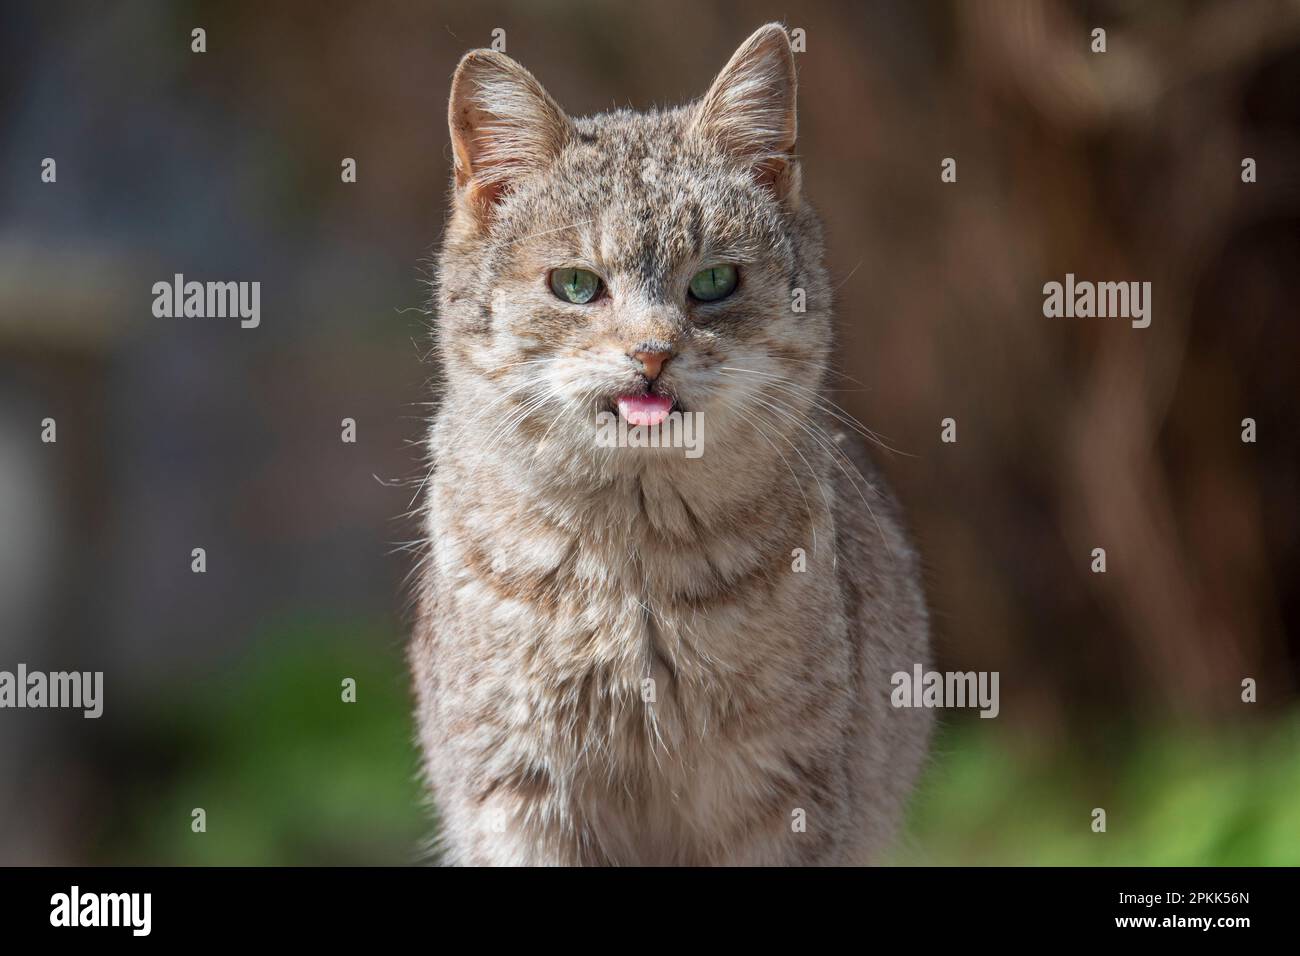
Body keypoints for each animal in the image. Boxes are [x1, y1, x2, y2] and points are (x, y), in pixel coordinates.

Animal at [410, 22, 930, 863]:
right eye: (577, 286)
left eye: (714, 282)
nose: (653, 353)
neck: (633, 571)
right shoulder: (515, 790)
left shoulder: (785, 790)